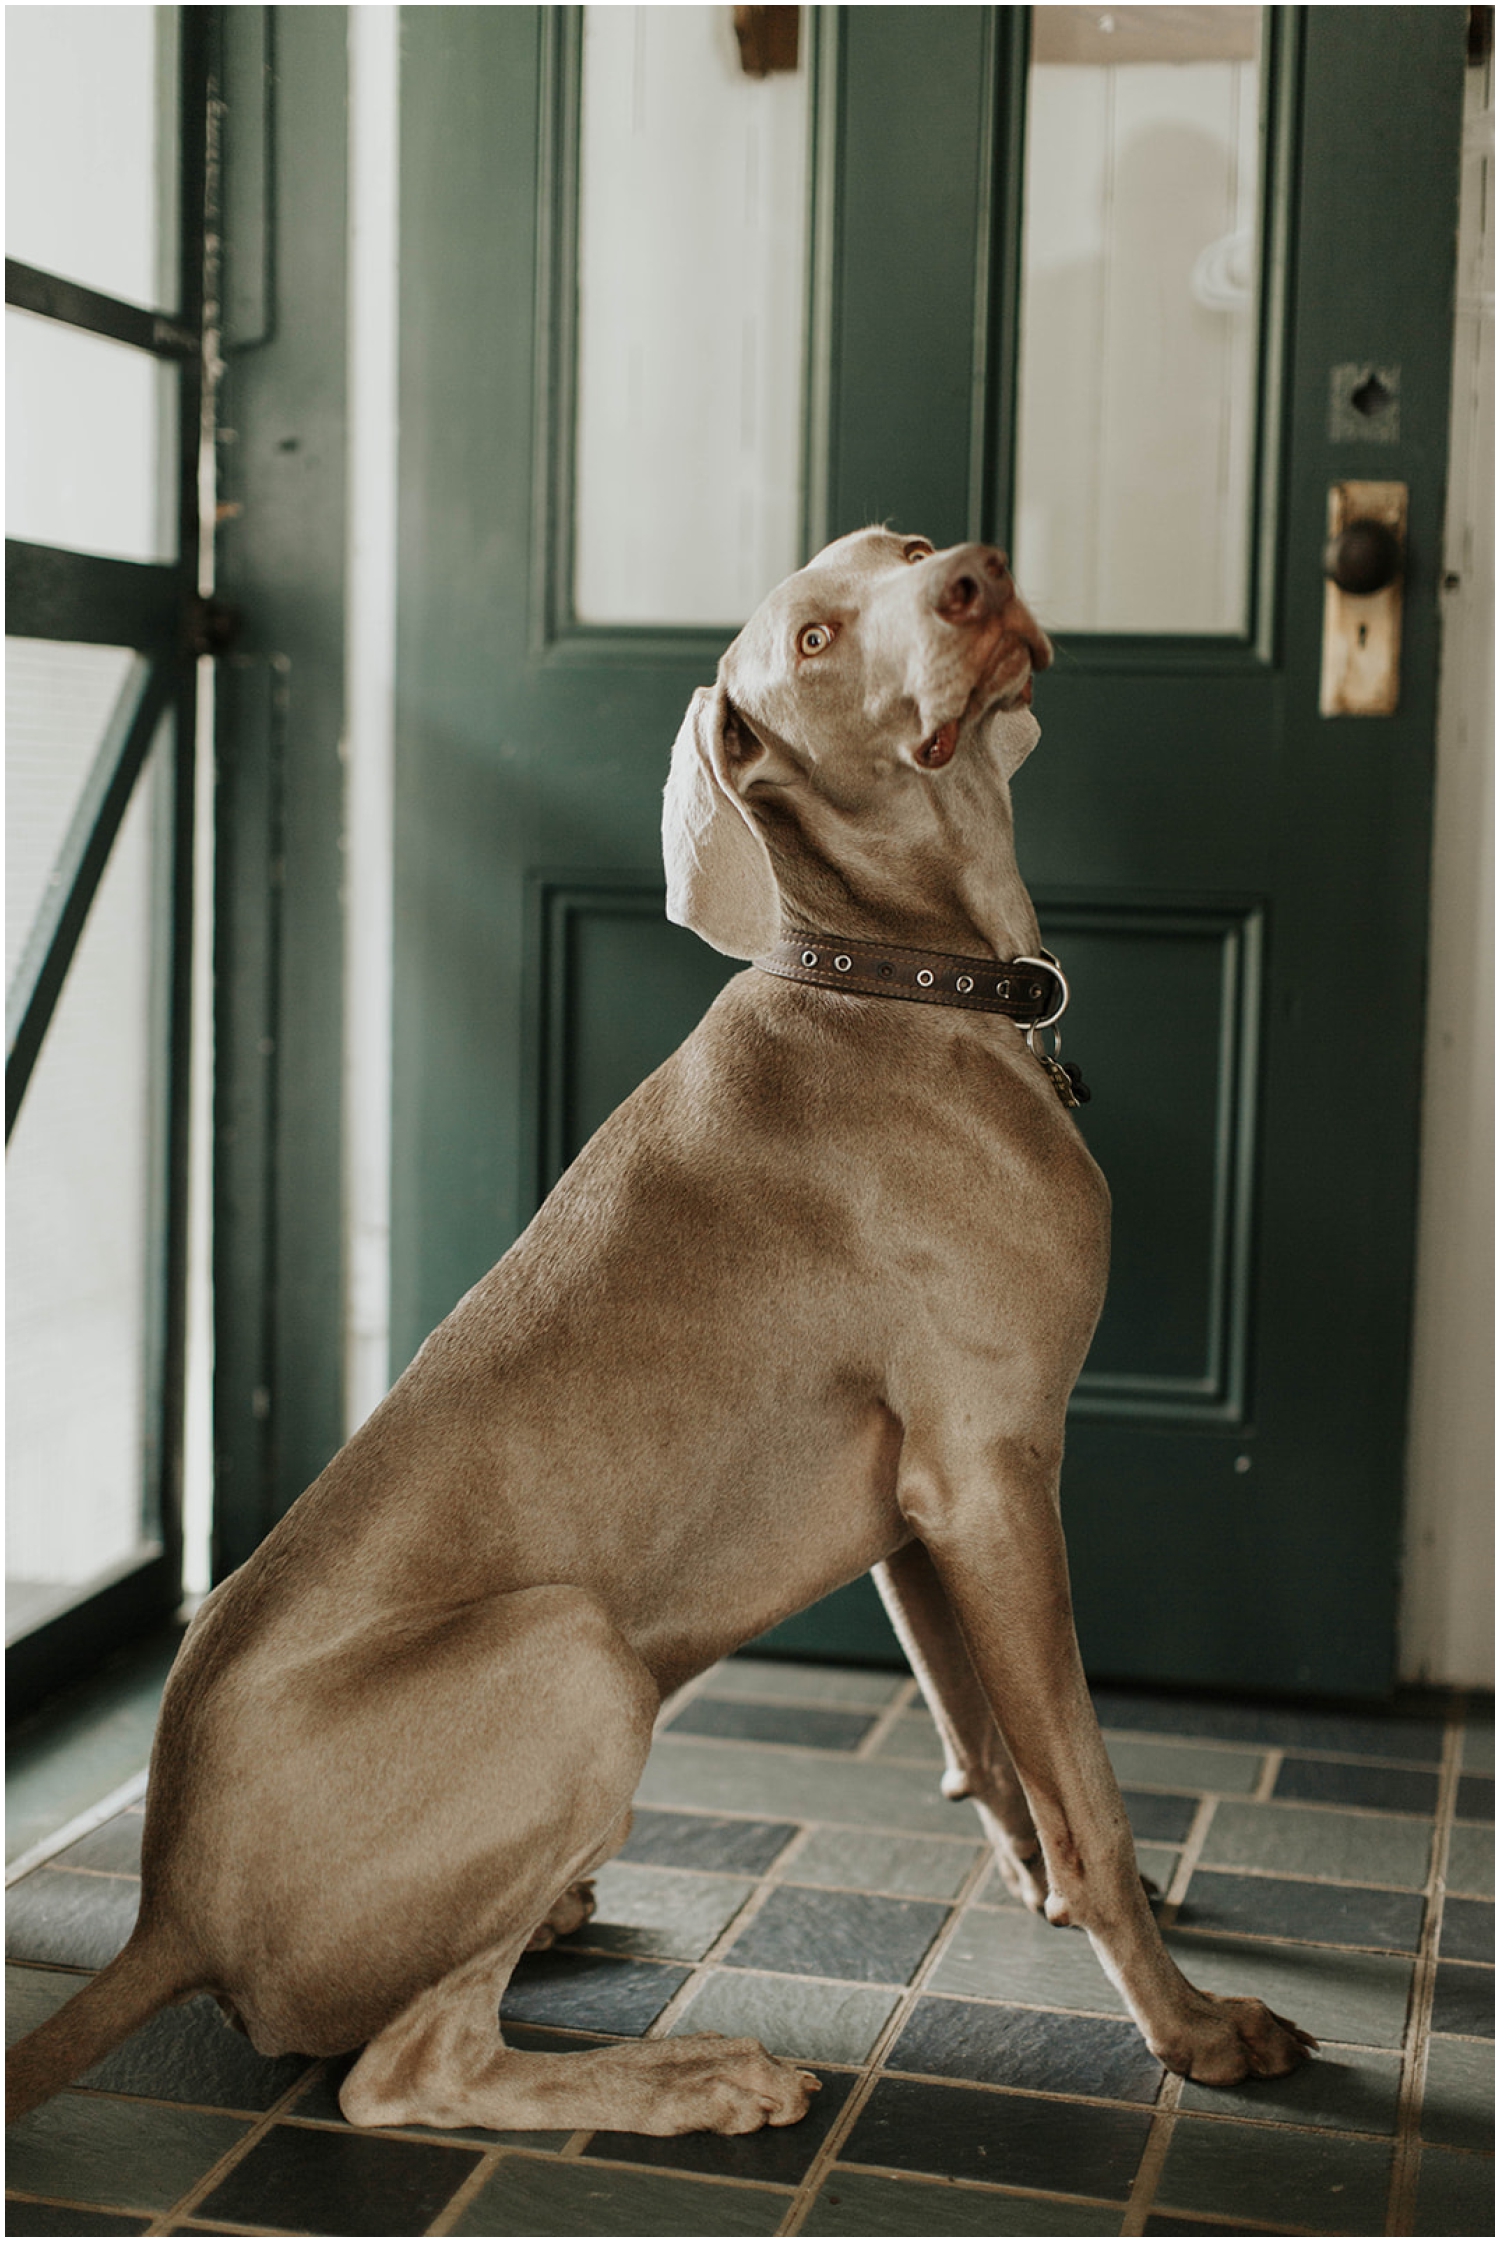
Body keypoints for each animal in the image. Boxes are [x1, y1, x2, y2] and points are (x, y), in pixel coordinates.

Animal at [8, 524, 1309, 2134]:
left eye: (898, 549)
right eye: (814, 639)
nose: (974, 572)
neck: (897, 981)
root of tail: (165, 1912)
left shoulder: (921, 1517)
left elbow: (994, 1747)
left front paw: (1050, 1887)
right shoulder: (993, 1471)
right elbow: (1091, 1785)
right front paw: (1191, 2027)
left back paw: (573, 1923)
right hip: (574, 1653)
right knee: (406, 2071)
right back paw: (696, 2075)